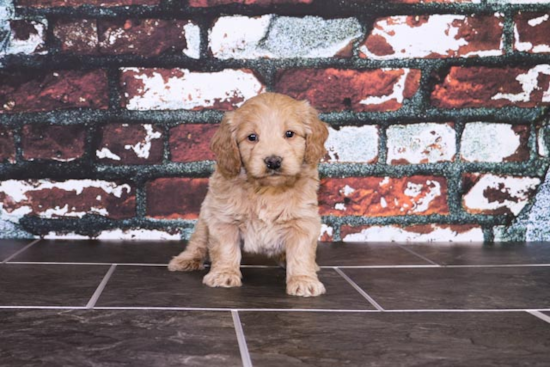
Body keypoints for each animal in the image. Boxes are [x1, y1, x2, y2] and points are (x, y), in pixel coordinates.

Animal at [168, 93, 330, 298]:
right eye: (252, 137)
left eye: (289, 134)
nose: (273, 161)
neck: (267, 190)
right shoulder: (223, 218)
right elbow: (225, 248)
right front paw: (224, 274)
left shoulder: (303, 220)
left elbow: (301, 253)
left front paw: (304, 281)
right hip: (205, 216)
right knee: (198, 241)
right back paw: (186, 260)